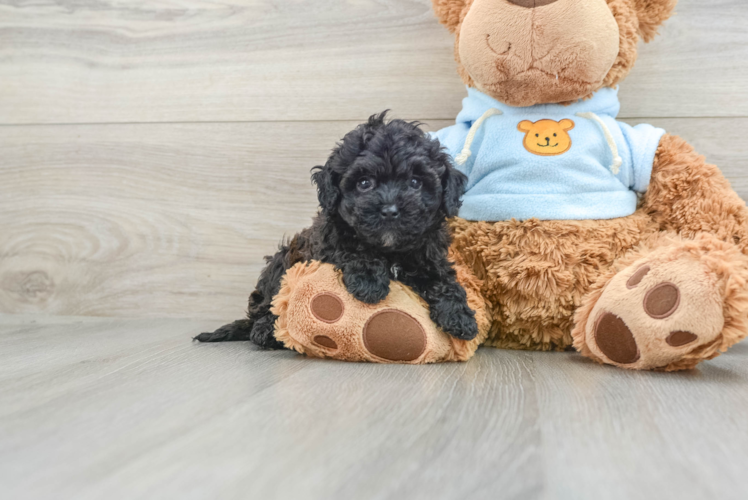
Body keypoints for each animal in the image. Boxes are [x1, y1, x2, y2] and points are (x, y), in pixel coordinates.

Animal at [197, 112, 480, 348]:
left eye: (415, 182)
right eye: (364, 183)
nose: (390, 210)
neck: (389, 250)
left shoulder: (428, 257)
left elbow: (444, 281)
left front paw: (460, 316)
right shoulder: (327, 242)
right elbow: (352, 249)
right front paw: (369, 282)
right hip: (280, 265)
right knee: (269, 308)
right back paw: (266, 331)